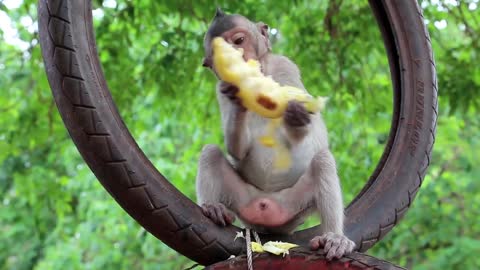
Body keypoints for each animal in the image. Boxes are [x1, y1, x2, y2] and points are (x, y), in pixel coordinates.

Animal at [196, 7, 356, 260]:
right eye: (222, 51)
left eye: (239, 41)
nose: (239, 57)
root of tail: (267, 208)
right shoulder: (220, 88)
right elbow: (237, 150)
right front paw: (239, 98)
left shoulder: (284, 66)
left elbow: (307, 135)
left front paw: (296, 115)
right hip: (243, 200)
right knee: (210, 152)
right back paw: (213, 208)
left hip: (293, 206)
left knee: (322, 161)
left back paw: (334, 238)